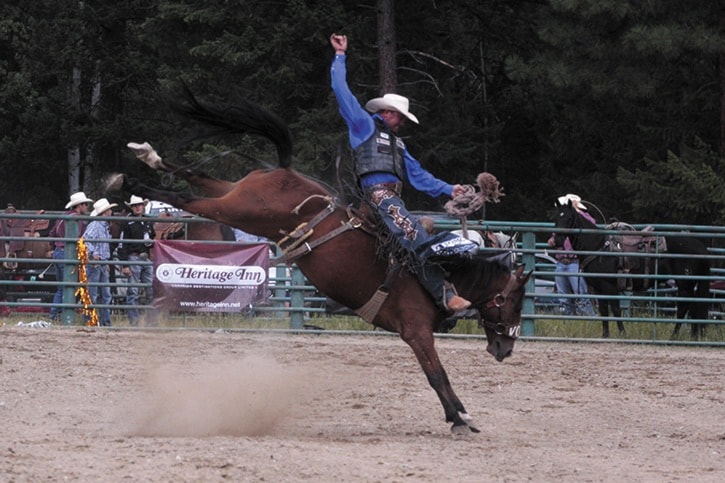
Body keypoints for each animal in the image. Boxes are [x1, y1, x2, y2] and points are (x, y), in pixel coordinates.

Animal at [107, 91, 528, 434]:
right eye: (513, 302)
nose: (506, 349)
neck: (440, 275)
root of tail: (284, 171)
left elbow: (438, 375)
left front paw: (460, 415)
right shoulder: (416, 331)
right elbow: (437, 375)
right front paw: (460, 418)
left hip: (236, 195)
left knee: (198, 176)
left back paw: (145, 155)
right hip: (240, 210)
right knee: (187, 198)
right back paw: (128, 183)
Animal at [552, 200, 708, 340]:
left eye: (569, 218)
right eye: (556, 218)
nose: (557, 240)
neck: (598, 246)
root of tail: (701, 247)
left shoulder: (609, 286)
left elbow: (615, 310)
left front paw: (622, 333)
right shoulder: (598, 288)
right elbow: (603, 311)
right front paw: (605, 335)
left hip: (684, 283)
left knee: (684, 307)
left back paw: (674, 336)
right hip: (689, 284)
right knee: (693, 305)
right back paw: (693, 336)